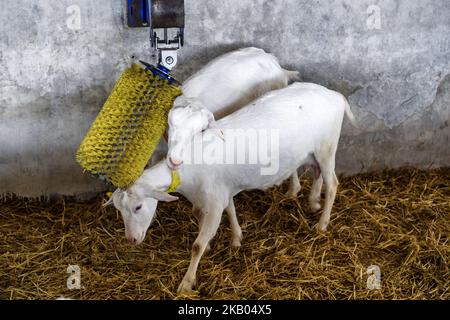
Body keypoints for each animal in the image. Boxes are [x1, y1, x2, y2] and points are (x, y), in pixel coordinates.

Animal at [108, 83, 356, 296]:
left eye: (138, 207)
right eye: (119, 210)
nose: (131, 240)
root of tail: (335, 95)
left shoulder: (214, 203)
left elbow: (197, 245)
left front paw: (187, 282)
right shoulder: (221, 192)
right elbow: (231, 210)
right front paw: (236, 239)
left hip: (327, 147)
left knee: (333, 184)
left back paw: (322, 224)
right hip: (314, 152)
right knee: (317, 173)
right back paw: (312, 201)